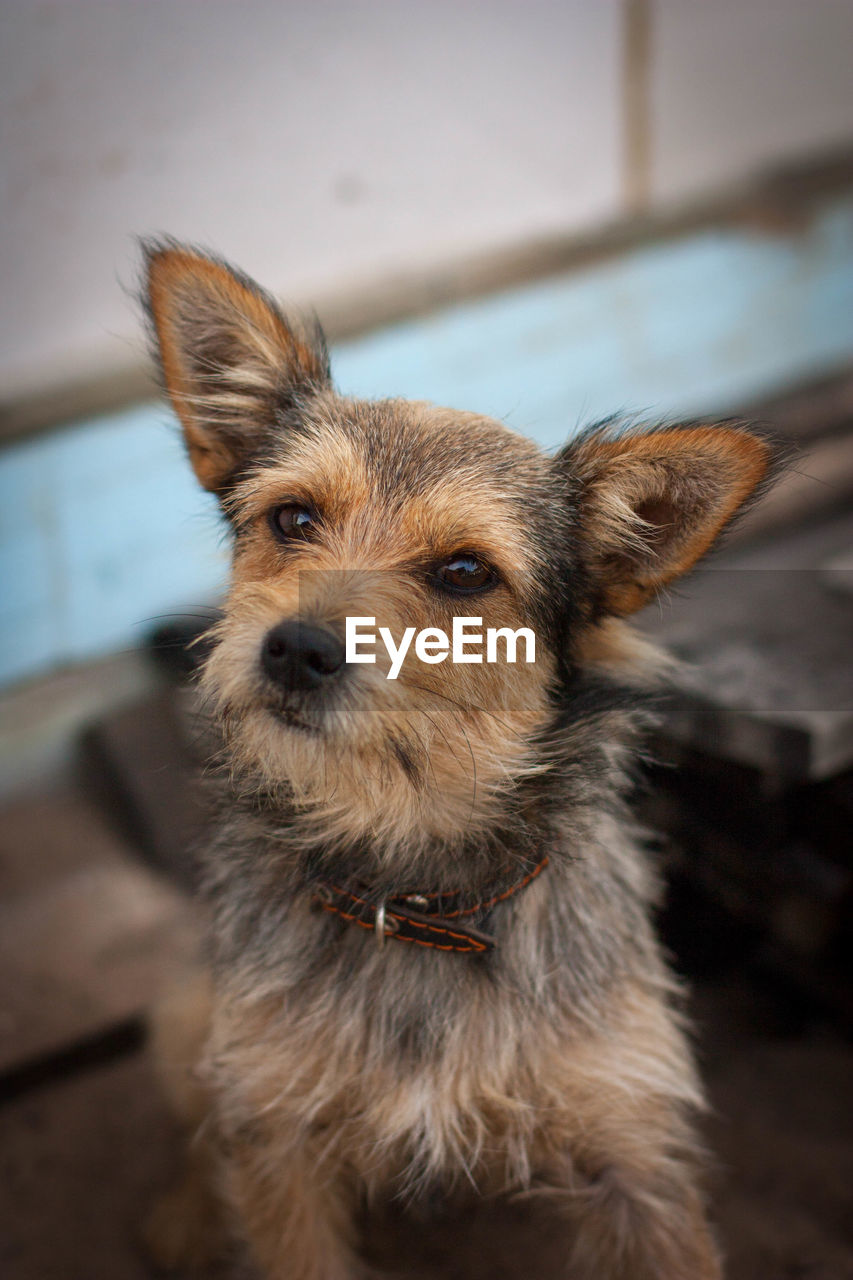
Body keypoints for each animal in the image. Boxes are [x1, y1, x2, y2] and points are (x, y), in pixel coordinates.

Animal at [140, 241, 768, 1280]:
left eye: (466, 573)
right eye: (294, 519)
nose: (295, 648)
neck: (416, 894)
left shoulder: (636, 1160)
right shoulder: (279, 1142)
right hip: (191, 1016)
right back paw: (187, 1221)